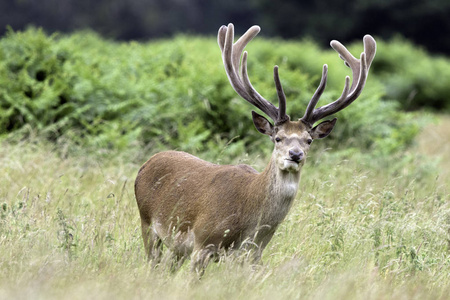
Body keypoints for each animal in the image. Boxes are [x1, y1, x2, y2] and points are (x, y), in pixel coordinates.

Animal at [134, 23, 376, 276]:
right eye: (277, 138)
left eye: (309, 140)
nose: (295, 155)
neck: (250, 221)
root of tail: (145, 165)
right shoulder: (203, 241)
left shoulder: (253, 254)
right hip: (147, 222)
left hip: (176, 246)